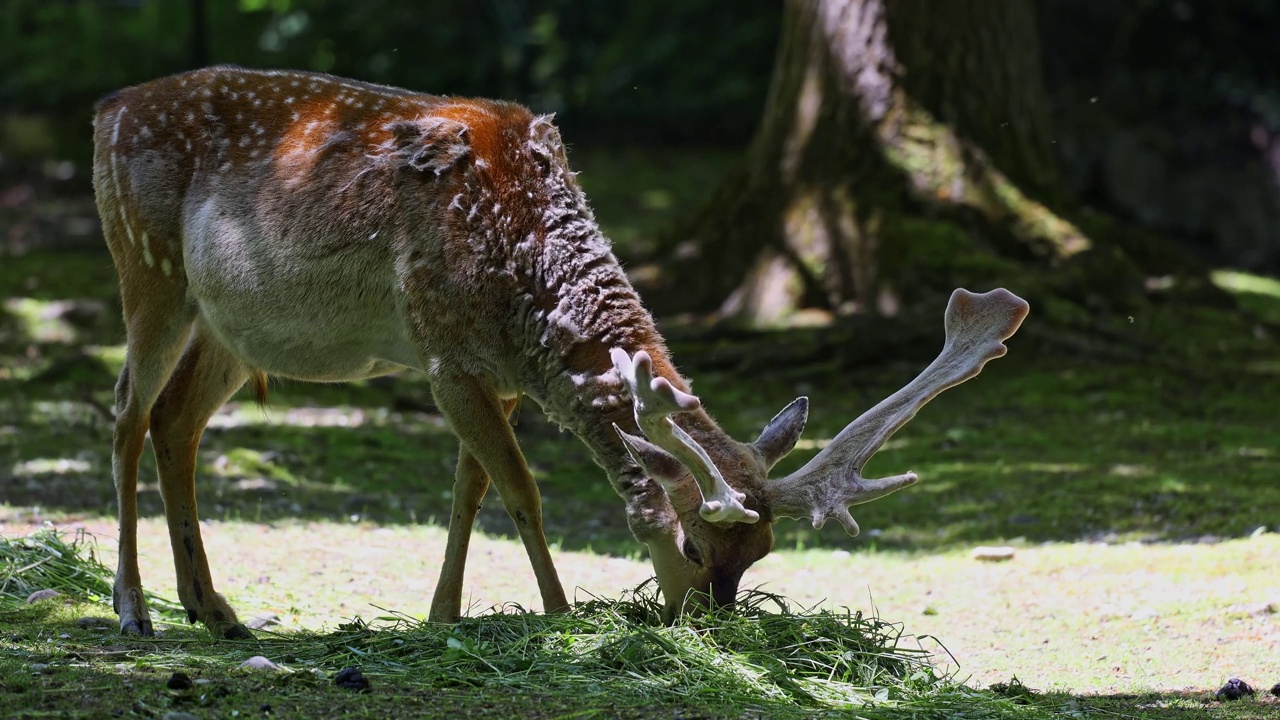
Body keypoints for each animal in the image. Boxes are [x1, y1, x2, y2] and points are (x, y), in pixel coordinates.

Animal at [90, 65, 1029, 638]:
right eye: (695, 550)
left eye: (762, 554)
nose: (710, 623)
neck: (530, 286)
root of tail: (106, 108)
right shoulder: (443, 351)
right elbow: (523, 492)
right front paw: (559, 610)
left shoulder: (503, 372)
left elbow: (469, 492)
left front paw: (443, 615)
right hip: (146, 266)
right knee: (128, 412)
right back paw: (135, 609)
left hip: (228, 325)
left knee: (177, 423)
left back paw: (213, 609)